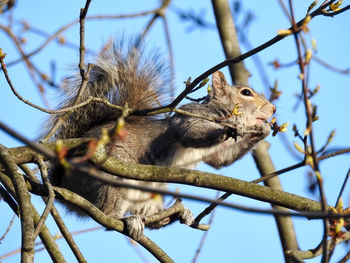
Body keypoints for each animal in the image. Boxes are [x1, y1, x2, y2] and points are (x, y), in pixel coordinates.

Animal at [42, 38, 274, 242]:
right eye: (246, 92)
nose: (273, 109)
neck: (220, 113)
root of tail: (66, 186)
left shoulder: (217, 153)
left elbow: (222, 160)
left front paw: (261, 130)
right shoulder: (190, 116)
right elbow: (192, 133)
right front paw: (233, 127)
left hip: (151, 194)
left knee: (152, 219)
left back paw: (172, 216)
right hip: (109, 179)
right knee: (107, 216)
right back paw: (127, 219)